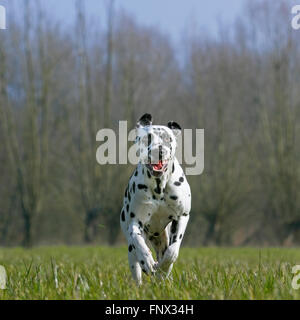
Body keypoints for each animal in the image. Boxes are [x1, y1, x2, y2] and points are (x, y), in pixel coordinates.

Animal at [119, 114, 190, 284]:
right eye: (146, 138)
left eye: (167, 138)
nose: (159, 150)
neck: (159, 187)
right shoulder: (135, 222)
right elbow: (138, 242)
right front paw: (148, 261)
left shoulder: (182, 216)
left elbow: (172, 251)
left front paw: (163, 266)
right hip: (131, 251)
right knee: (136, 264)